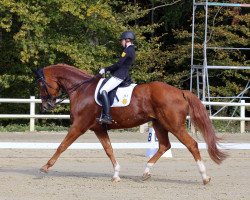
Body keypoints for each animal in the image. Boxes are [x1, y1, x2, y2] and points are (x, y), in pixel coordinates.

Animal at [34, 63, 227, 184]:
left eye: (41, 84)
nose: (46, 106)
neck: (82, 89)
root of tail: (180, 92)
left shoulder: (79, 126)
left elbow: (62, 145)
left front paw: (44, 167)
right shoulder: (98, 128)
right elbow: (109, 150)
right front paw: (116, 175)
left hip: (174, 125)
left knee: (191, 145)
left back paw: (204, 177)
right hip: (159, 124)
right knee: (164, 146)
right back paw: (146, 172)